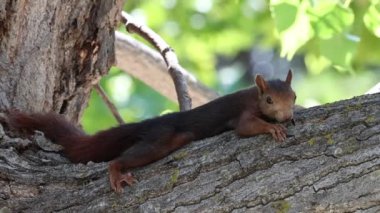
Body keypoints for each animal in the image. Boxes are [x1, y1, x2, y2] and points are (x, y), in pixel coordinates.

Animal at [6, 69, 296, 193]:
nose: (286, 115)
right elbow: (246, 127)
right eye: (269, 100)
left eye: (293, 96)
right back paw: (116, 172)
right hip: (162, 139)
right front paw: (273, 128)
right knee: (121, 158)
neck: (254, 96)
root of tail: (149, 124)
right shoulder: (243, 113)